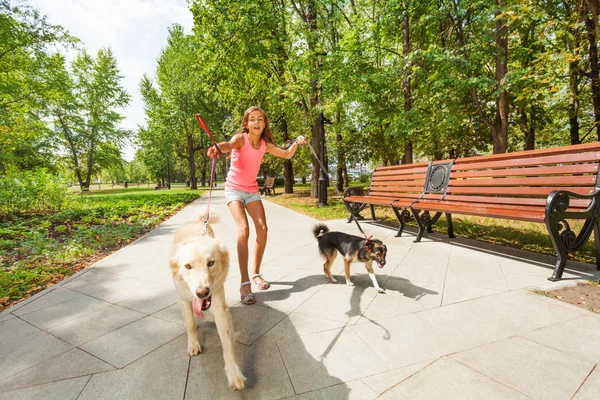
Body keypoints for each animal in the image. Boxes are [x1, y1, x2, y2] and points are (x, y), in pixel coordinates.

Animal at [168, 212, 245, 390]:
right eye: (187, 266)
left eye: (210, 263)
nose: (202, 293)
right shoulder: (183, 299)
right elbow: (190, 324)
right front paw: (193, 344)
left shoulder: (219, 306)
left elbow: (227, 342)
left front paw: (233, 373)